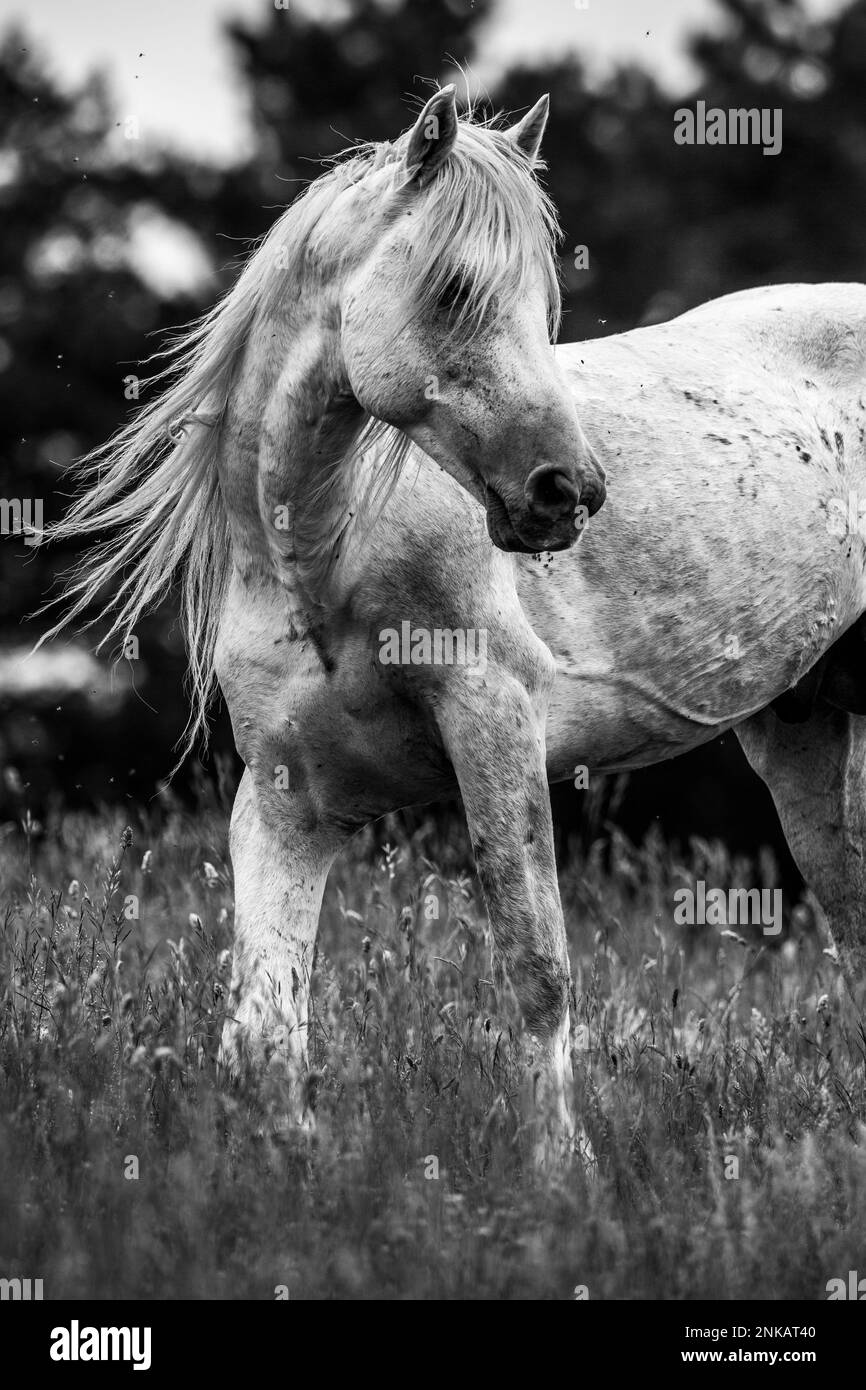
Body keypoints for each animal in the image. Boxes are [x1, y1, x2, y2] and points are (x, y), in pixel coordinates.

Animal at [45, 89, 866, 1162]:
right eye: (452, 289)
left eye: (539, 303)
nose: (568, 492)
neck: (323, 554)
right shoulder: (284, 802)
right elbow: (265, 1024)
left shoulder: (497, 725)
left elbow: (537, 966)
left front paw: (561, 1169)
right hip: (805, 743)